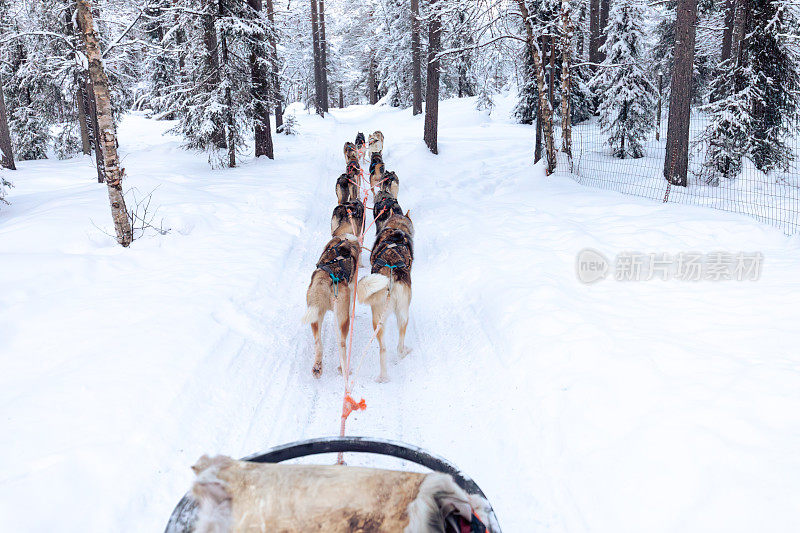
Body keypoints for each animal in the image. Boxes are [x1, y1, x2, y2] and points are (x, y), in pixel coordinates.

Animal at [304, 234, 360, 378]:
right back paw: (343, 367)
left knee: (318, 343)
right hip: (342, 319)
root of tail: (327, 277)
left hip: (315, 315)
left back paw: (317, 367)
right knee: (342, 344)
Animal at [360, 212, 416, 382]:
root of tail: (390, 274)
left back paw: (383, 377)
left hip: (380, 320)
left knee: (383, 349)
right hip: (403, 315)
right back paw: (405, 352)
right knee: (399, 346)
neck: (396, 227)